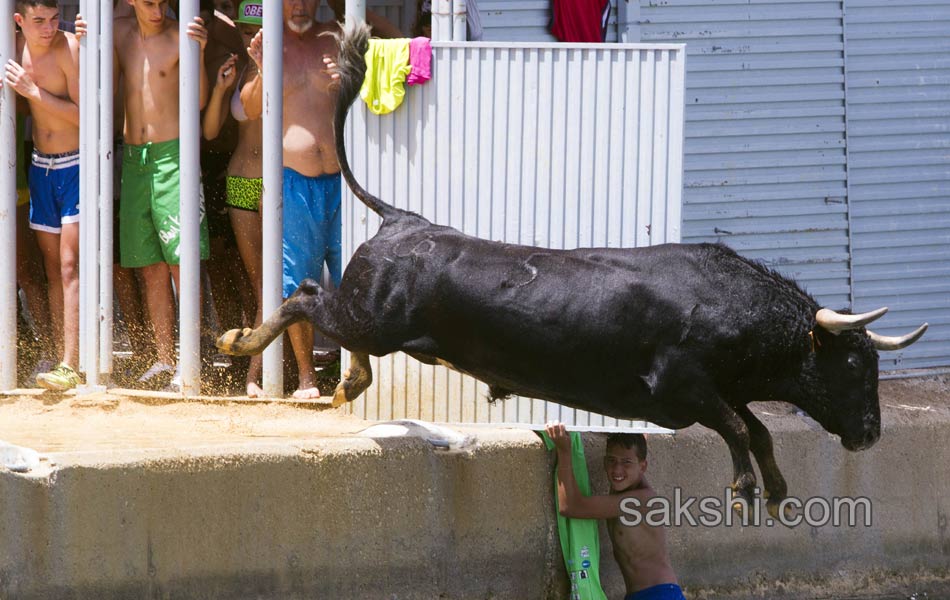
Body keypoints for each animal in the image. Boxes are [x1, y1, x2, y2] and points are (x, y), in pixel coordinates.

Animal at [218, 21, 928, 516]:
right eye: (853, 363)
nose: (870, 435)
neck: (730, 305)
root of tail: (405, 220)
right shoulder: (681, 386)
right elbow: (736, 424)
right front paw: (746, 490)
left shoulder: (713, 391)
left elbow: (755, 426)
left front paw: (775, 488)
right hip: (369, 316)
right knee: (306, 296)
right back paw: (240, 341)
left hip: (375, 321)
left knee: (330, 312)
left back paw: (348, 383)